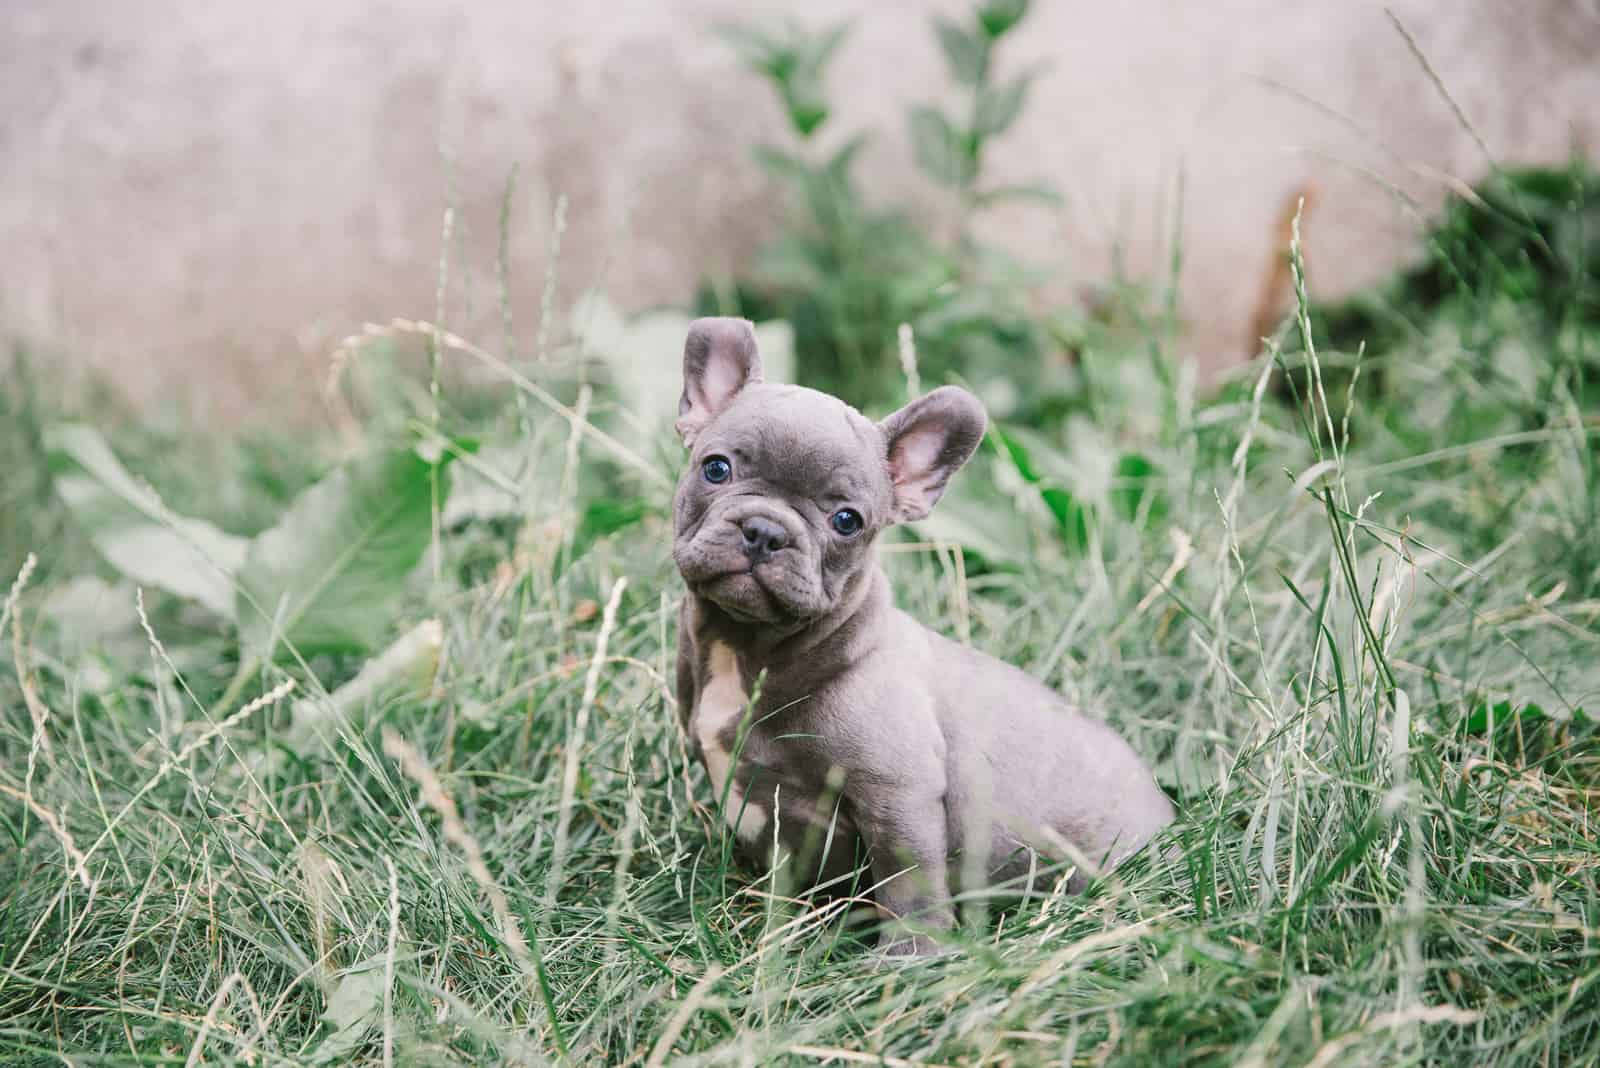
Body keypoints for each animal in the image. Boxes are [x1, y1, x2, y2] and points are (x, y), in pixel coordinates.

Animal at [675, 314, 1177, 952]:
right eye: (716, 468)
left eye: (847, 521)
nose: (765, 530)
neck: (749, 646)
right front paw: (771, 931)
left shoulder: (897, 794)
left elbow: (908, 879)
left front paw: (911, 957)